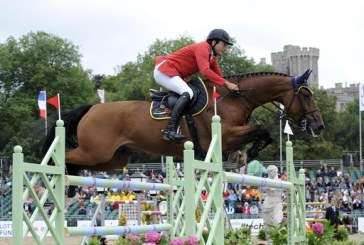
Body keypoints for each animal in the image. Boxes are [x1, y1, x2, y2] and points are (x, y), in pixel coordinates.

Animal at [42, 69, 324, 195]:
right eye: (306, 96)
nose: (319, 126)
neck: (236, 98)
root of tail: (92, 109)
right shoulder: (224, 135)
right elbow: (262, 129)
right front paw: (249, 152)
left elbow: (261, 133)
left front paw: (243, 155)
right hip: (95, 151)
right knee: (65, 156)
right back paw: (60, 183)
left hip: (112, 158)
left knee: (78, 162)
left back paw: (71, 187)